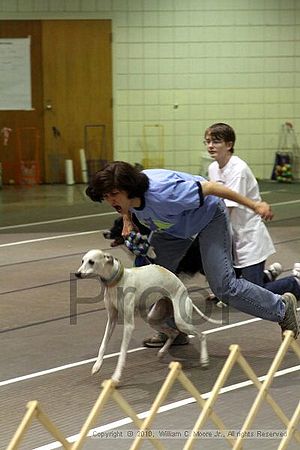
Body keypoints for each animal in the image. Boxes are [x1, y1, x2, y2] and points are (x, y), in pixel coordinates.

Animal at [75, 250, 220, 384]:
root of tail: (184, 290)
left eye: (91, 262)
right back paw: (162, 352)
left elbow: (122, 352)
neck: (117, 280)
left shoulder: (129, 326)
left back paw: (204, 360)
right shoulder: (111, 319)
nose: (77, 273)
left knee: (202, 335)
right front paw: (97, 366)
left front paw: (116, 376)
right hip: (153, 318)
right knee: (173, 332)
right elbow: (103, 344)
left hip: (181, 321)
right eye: (82, 261)